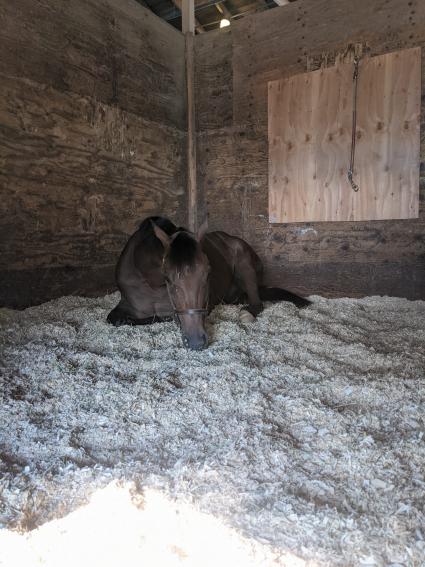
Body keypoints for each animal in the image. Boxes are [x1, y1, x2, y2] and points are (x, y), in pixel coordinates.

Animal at [107, 216, 310, 350]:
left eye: (208, 274)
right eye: (168, 278)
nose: (196, 341)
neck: (149, 281)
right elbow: (116, 319)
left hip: (246, 266)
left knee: (256, 302)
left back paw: (247, 313)